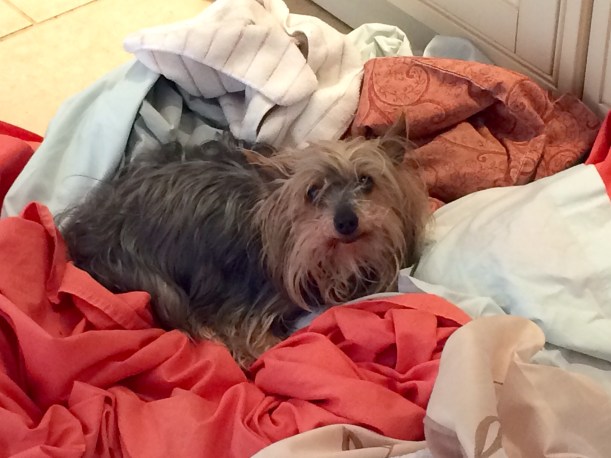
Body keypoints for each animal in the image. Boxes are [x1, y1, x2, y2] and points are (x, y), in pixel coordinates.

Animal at [59, 130, 429, 367]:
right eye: (311, 192)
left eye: (366, 180)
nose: (346, 221)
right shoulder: (241, 311)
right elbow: (258, 344)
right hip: (149, 277)